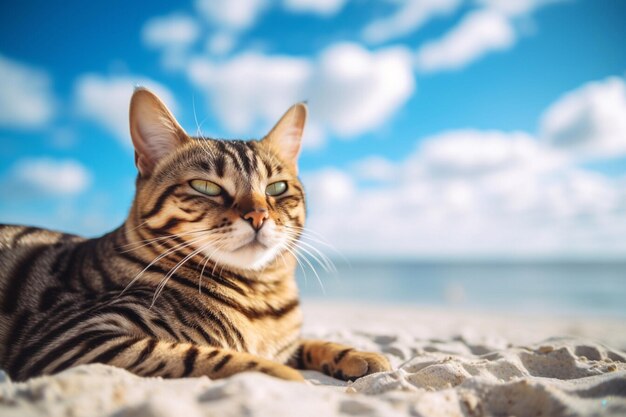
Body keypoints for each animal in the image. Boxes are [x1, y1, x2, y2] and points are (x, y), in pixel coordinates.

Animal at [0, 89, 388, 382]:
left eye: (276, 188)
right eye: (206, 187)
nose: (258, 215)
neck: (262, 299)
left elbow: (306, 342)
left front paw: (358, 354)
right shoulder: (73, 337)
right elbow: (209, 356)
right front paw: (289, 377)